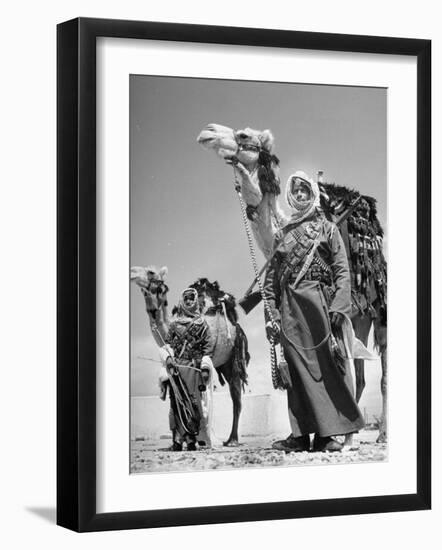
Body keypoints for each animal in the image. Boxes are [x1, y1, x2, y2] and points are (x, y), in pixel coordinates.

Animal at [130, 268, 249, 448]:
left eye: (158, 285)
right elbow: (175, 399)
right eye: (145, 289)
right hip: (222, 364)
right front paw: (176, 444)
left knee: (236, 397)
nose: (134, 275)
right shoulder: (172, 370)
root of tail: (237, 327)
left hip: (233, 357)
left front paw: (202, 439)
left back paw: (232, 440)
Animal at [197, 124, 386, 444]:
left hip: (380, 310)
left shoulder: (338, 307)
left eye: (244, 135)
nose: (207, 132)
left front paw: (335, 436)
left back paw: (378, 433)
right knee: (361, 373)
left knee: (380, 371)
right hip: (361, 317)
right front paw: (300, 436)